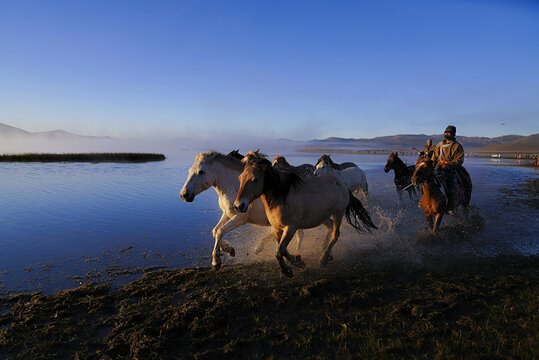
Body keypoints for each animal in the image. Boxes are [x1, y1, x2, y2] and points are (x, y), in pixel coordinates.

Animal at [234, 150, 378, 278]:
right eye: (240, 178)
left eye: (255, 179)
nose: (238, 206)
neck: (281, 196)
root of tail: (343, 185)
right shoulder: (276, 229)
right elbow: (282, 250)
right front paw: (298, 262)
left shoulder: (290, 228)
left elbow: (279, 251)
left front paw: (287, 271)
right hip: (323, 216)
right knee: (330, 227)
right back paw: (324, 251)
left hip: (339, 212)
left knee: (335, 234)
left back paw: (324, 259)